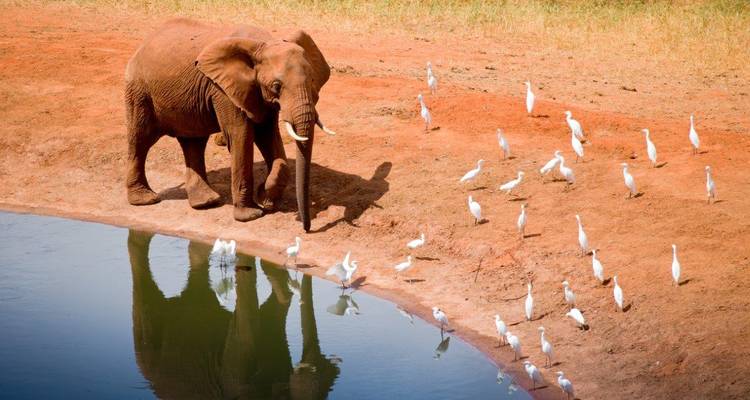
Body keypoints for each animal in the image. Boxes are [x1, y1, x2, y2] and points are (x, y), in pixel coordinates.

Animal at [124, 18, 335, 231]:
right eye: (276, 86)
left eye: (312, 80)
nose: (307, 229)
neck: (264, 43)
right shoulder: (224, 90)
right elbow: (241, 136)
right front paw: (251, 215)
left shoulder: (255, 92)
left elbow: (268, 136)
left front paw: (265, 198)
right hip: (139, 91)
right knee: (140, 140)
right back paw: (145, 200)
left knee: (194, 142)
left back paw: (206, 202)